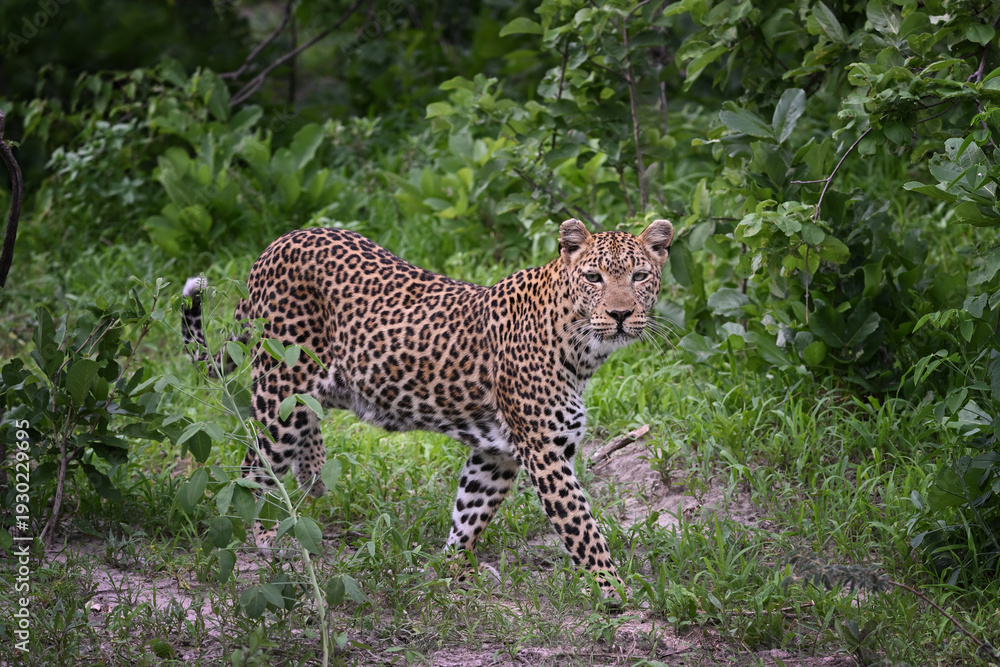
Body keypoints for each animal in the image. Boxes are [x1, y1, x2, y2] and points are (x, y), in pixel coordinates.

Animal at [181, 218, 674, 596]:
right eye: (594, 278)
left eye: (639, 276)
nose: (620, 315)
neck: (582, 348)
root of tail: (275, 245)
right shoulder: (544, 453)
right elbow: (583, 529)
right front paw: (613, 591)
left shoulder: (496, 455)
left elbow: (470, 513)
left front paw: (449, 571)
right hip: (280, 395)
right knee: (253, 471)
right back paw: (267, 539)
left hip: (313, 388)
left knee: (302, 430)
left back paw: (314, 472)